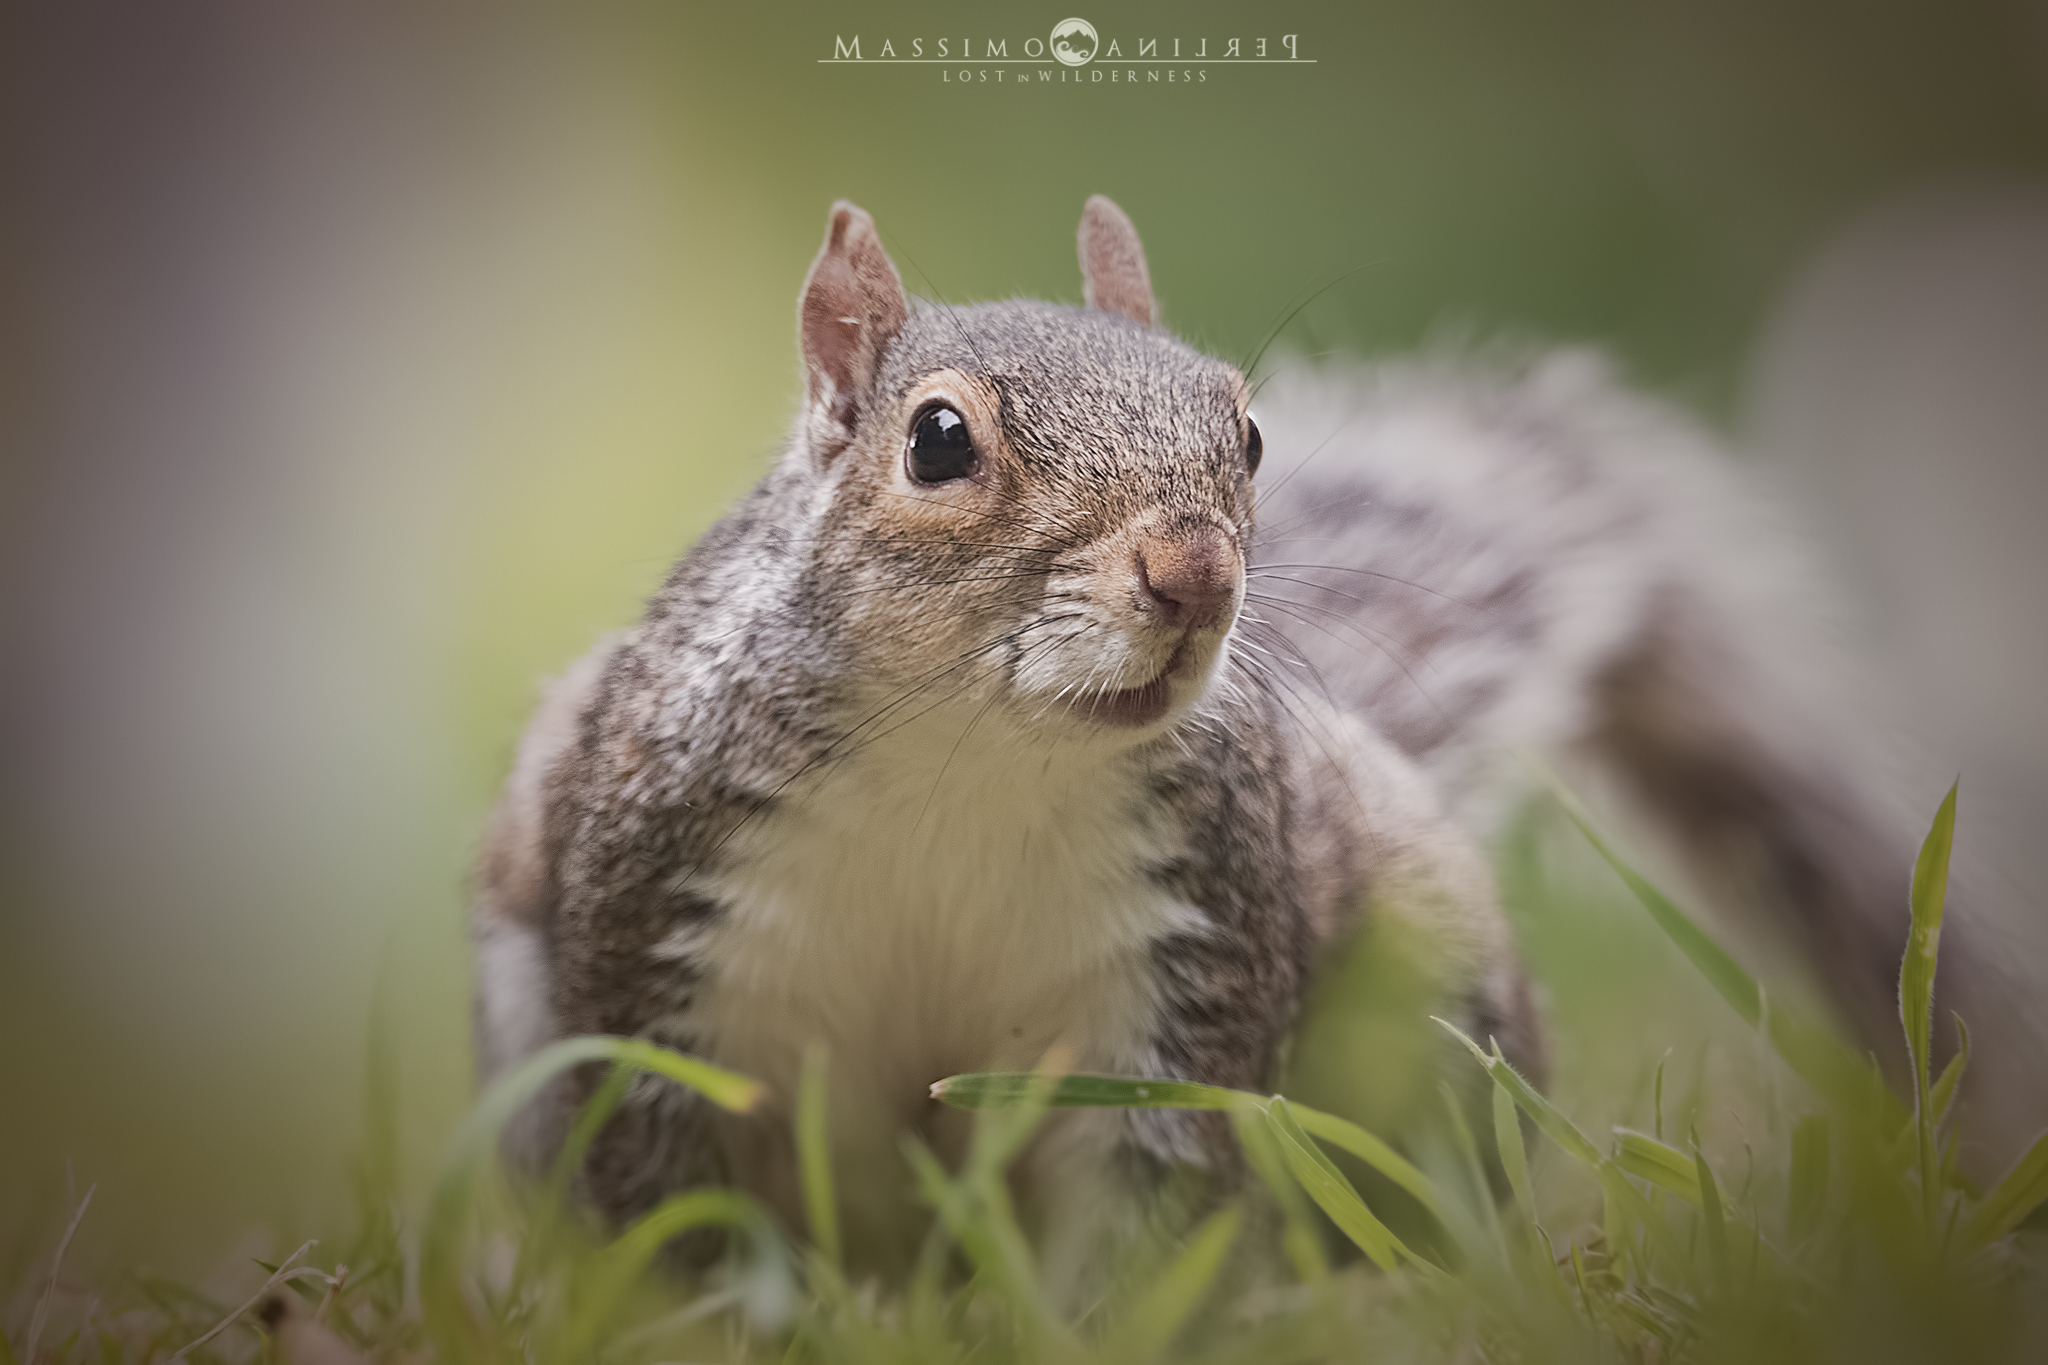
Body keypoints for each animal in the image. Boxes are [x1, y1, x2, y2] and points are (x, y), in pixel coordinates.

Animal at [471, 195, 2007, 1278]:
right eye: (937, 441)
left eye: (1249, 434)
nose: (1194, 572)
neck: (973, 756)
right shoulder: (662, 949)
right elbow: (668, 1201)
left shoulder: (1183, 950)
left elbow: (1156, 1201)